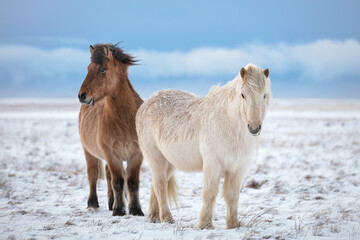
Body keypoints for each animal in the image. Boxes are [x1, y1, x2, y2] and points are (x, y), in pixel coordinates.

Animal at [78, 42, 144, 216]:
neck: (125, 120)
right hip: (89, 152)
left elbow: (132, 182)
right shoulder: (112, 155)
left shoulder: (136, 155)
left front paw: (136, 210)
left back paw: (110, 202)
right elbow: (118, 182)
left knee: (107, 175)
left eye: (102, 69)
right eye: (88, 68)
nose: (82, 95)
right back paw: (93, 203)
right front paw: (119, 210)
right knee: (93, 174)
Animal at [136, 62, 272, 228]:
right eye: (242, 94)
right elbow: (210, 192)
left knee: (157, 184)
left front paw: (233, 224)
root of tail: (145, 104)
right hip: (155, 157)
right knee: (160, 185)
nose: (254, 127)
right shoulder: (213, 164)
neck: (229, 124)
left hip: (170, 162)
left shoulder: (238, 167)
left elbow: (233, 195)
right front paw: (205, 224)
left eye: (264, 95)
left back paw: (154, 217)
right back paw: (167, 218)